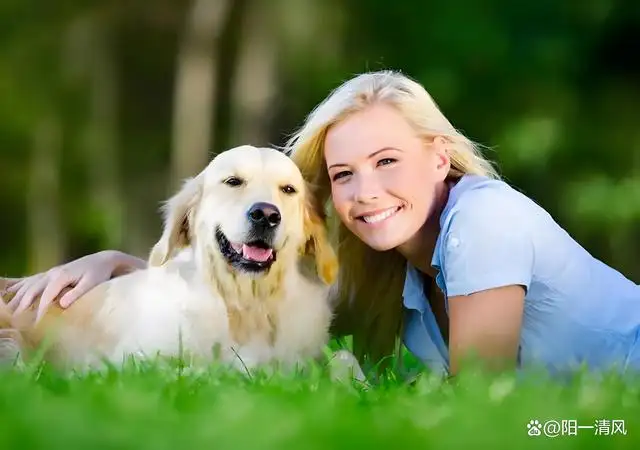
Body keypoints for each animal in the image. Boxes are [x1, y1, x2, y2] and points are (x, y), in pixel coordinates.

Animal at [0, 145, 340, 372]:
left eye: (288, 189)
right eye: (233, 181)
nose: (267, 215)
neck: (246, 305)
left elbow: (339, 360)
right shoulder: (133, 361)